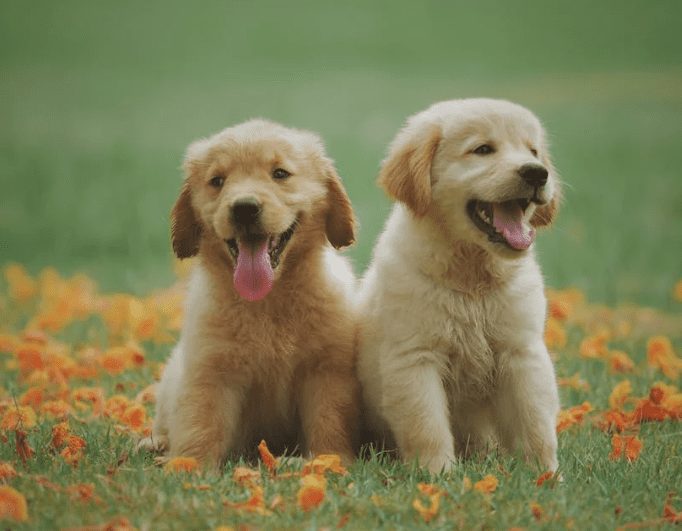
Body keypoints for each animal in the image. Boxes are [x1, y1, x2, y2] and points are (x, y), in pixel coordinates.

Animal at [138, 118, 362, 468]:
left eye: (280, 174)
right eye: (217, 181)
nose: (244, 208)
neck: (267, 301)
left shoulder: (326, 370)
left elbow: (329, 420)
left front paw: (329, 460)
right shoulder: (210, 370)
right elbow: (200, 422)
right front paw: (188, 466)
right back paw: (155, 444)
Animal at [356, 98, 556, 474]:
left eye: (533, 150)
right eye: (483, 150)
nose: (538, 173)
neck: (471, 278)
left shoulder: (521, 353)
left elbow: (535, 420)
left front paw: (546, 475)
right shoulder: (415, 358)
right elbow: (427, 425)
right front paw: (438, 475)